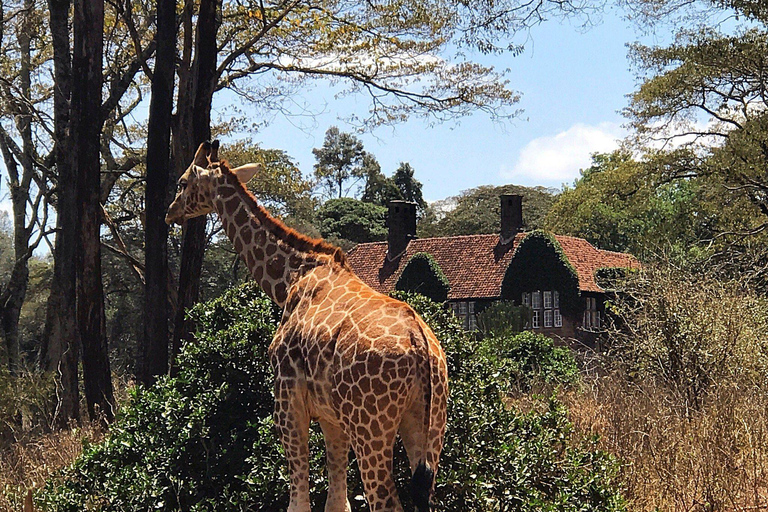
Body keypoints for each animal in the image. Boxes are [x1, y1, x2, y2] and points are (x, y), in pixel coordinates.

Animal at [164, 141, 450, 512]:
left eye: (182, 182)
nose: (170, 213)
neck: (290, 278)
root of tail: (421, 347)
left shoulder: (287, 400)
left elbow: (299, 500)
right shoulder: (331, 417)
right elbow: (338, 501)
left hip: (370, 427)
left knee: (385, 500)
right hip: (429, 424)